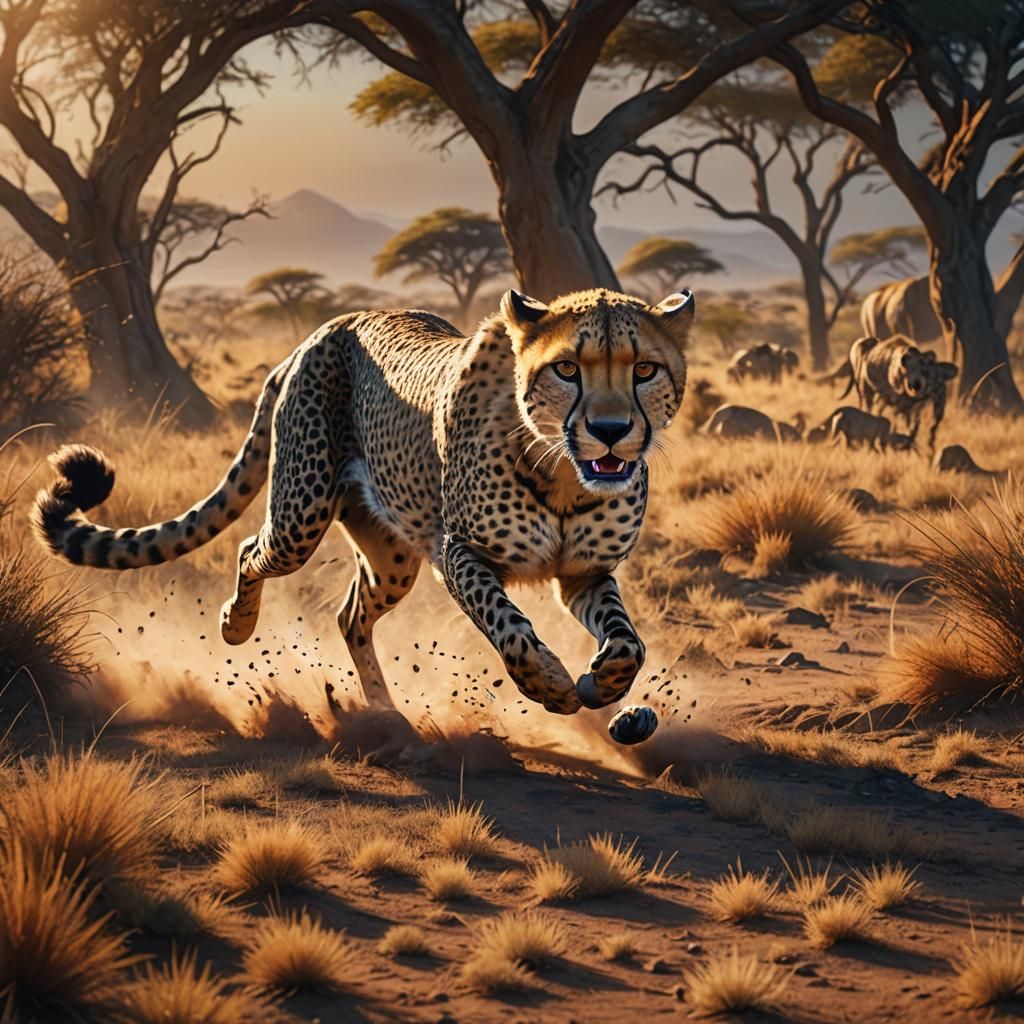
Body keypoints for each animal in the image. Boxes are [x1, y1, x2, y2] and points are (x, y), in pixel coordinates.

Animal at [31, 287, 694, 746]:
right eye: (566, 368)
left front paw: (605, 685)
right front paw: (551, 685)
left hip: (392, 554)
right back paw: (237, 626)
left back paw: (384, 712)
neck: (562, 471)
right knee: (252, 551)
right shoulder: (459, 551)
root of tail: (328, 326)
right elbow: (507, 627)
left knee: (351, 614)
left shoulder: (584, 575)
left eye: (644, 369)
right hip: (301, 515)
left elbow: (628, 642)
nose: (610, 431)